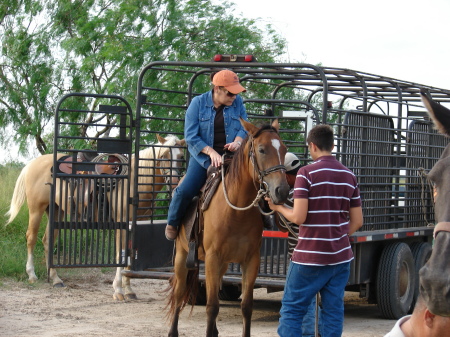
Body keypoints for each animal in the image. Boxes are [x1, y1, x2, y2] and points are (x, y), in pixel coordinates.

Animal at [5, 134, 185, 300]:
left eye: (181, 157)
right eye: (163, 156)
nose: (174, 183)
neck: (133, 182)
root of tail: (32, 164)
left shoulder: (136, 224)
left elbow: (129, 256)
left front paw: (129, 290)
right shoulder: (121, 223)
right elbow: (120, 255)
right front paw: (118, 290)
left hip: (55, 210)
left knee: (47, 240)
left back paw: (55, 279)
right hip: (37, 209)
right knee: (31, 238)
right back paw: (32, 275)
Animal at [165, 119, 288, 336]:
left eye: (283, 148)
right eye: (262, 149)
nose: (281, 191)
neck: (235, 212)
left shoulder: (251, 260)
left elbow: (246, 306)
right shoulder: (212, 258)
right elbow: (212, 306)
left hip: (221, 265)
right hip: (182, 257)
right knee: (179, 294)